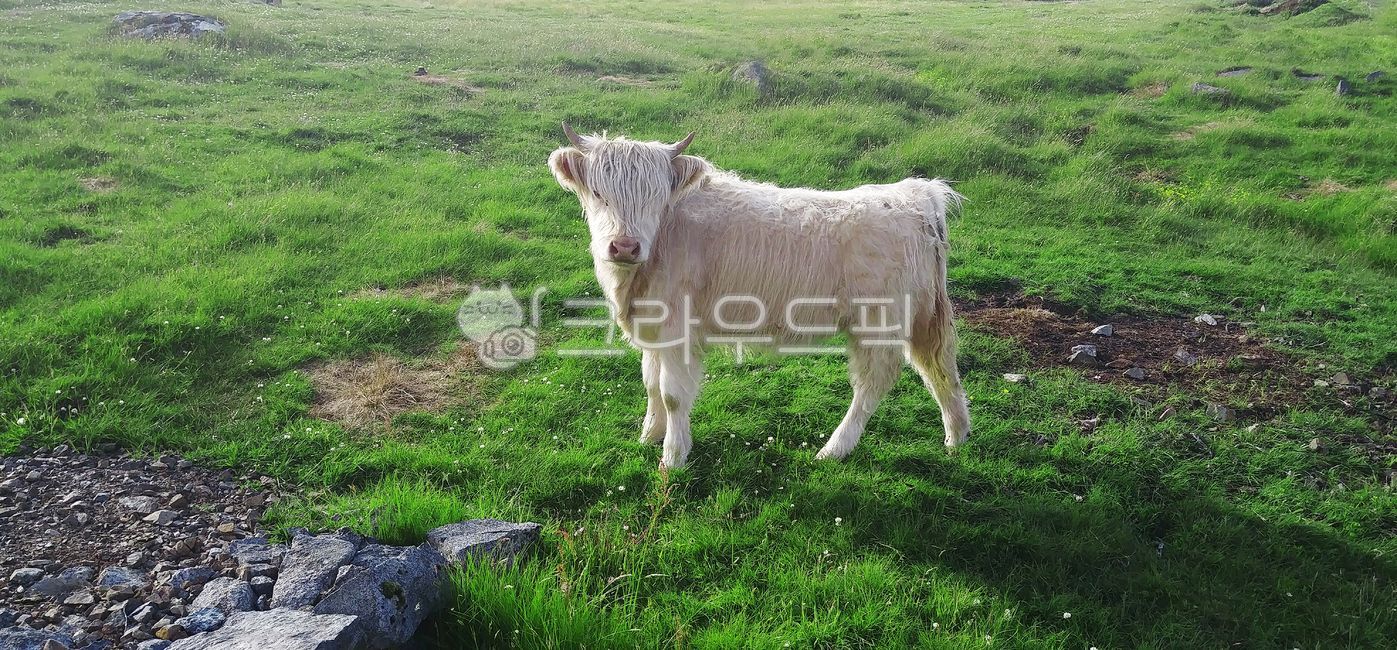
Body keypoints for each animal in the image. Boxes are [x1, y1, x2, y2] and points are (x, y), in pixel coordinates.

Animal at [548, 123, 970, 469]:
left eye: (656, 197)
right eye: (598, 192)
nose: (624, 246)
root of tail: (915, 195)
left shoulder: (679, 330)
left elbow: (672, 394)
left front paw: (673, 457)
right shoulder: (654, 329)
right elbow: (651, 384)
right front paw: (649, 436)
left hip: (877, 323)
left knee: (873, 384)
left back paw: (833, 449)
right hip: (922, 315)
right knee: (939, 367)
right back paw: (956, 437)